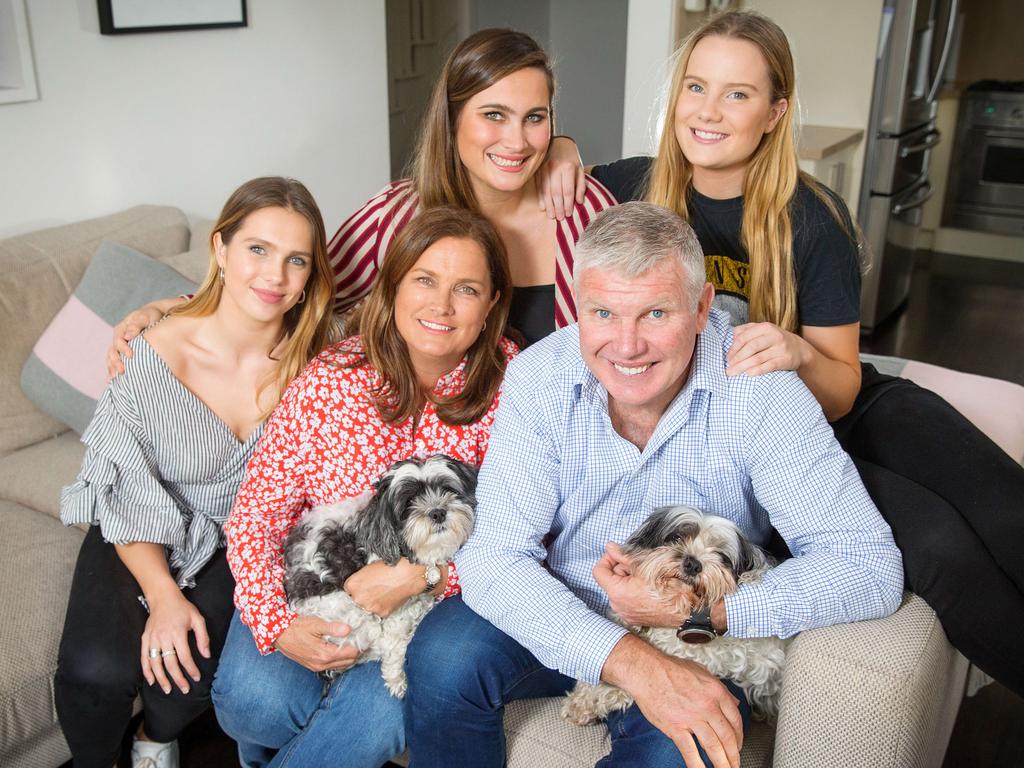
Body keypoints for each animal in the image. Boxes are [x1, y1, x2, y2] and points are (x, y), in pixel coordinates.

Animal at [282, 454, 477, 700]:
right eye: (409, 502)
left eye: (447, 489)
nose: (438, 512)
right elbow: (395, 641)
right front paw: (397, 678)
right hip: (348, 617)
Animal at [565, 505, 786, 729]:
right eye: (677, 537)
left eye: (721, 556)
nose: (692, 564)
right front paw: (583, 693)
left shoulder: (699, 658)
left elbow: (637, 679)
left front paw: (584, 703)